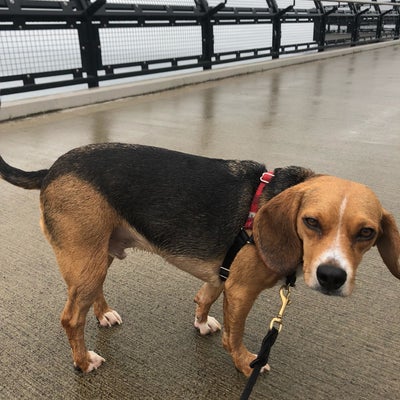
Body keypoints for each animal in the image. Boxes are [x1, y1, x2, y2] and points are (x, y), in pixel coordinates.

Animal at [0, 145, 400, 378]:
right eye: (311, 222)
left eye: (367, 233)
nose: (332, 276)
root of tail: (51, 169)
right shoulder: (241, 291)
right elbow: (234, 338)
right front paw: (246, 364)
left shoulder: (222, 278)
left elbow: (204, 298)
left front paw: (202, 322)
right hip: (87, 259)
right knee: (71, 318)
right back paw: (84, 362)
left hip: (97, 256)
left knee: (90, 296)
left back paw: (103, 314)